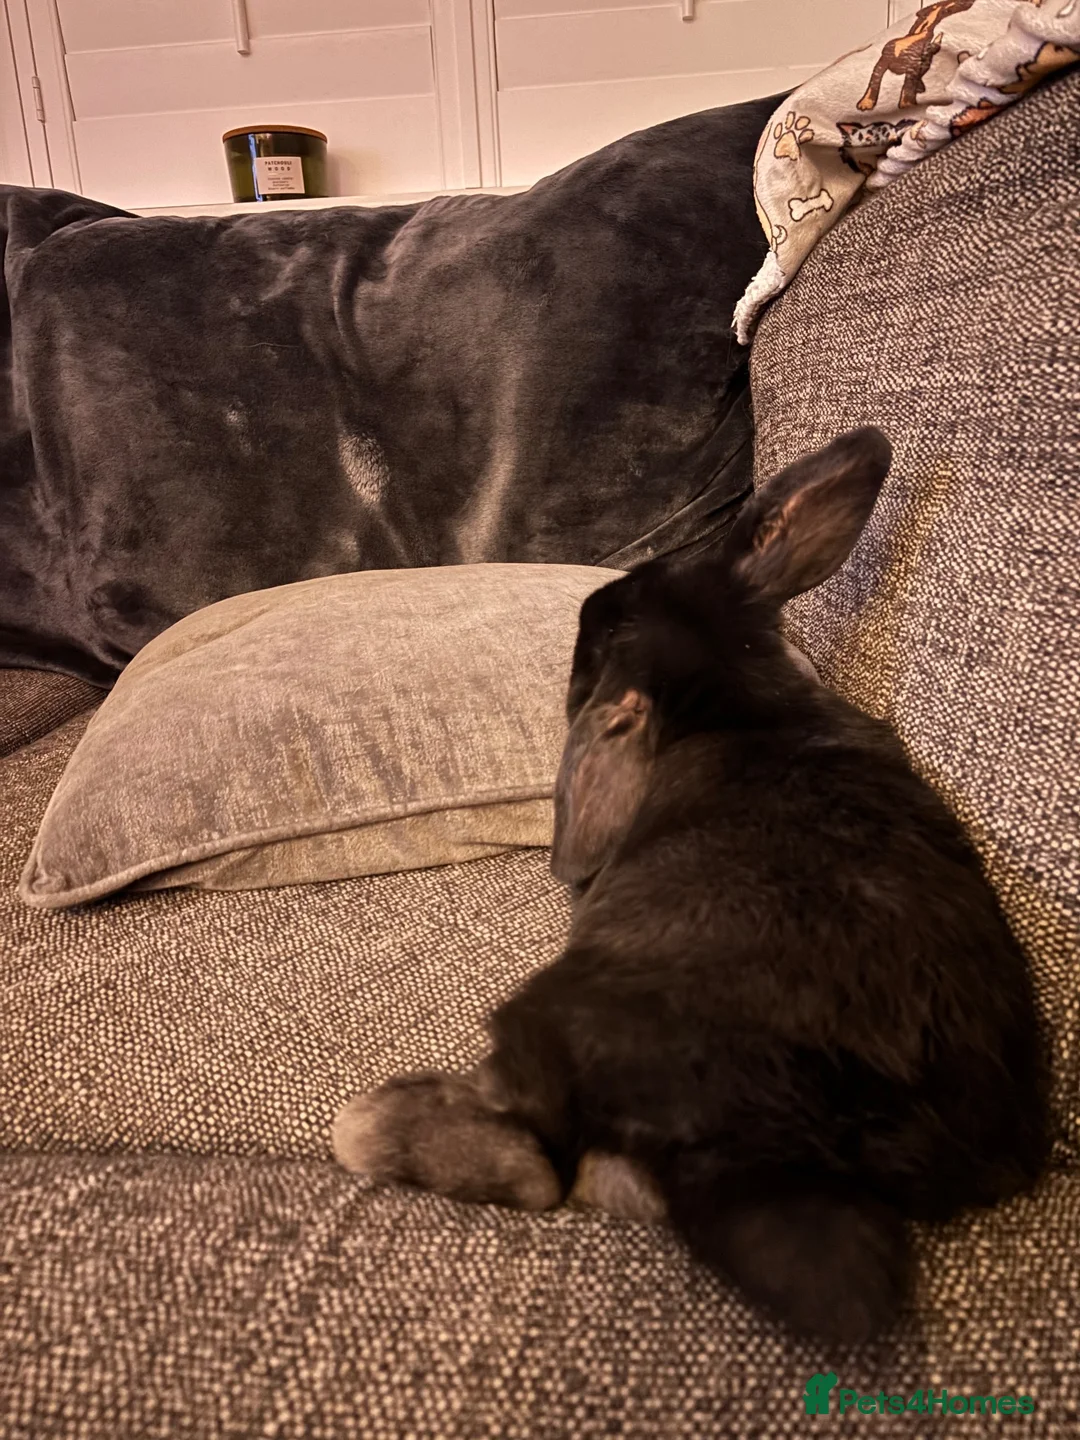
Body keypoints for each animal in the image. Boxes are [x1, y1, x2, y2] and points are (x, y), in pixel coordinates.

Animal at [333, 426, 1049, 1344]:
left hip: (549, 1023)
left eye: (597, 637)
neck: (738, 701)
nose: (587, 612)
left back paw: (376, 1120)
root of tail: (783, 1140)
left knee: (540, 1164)